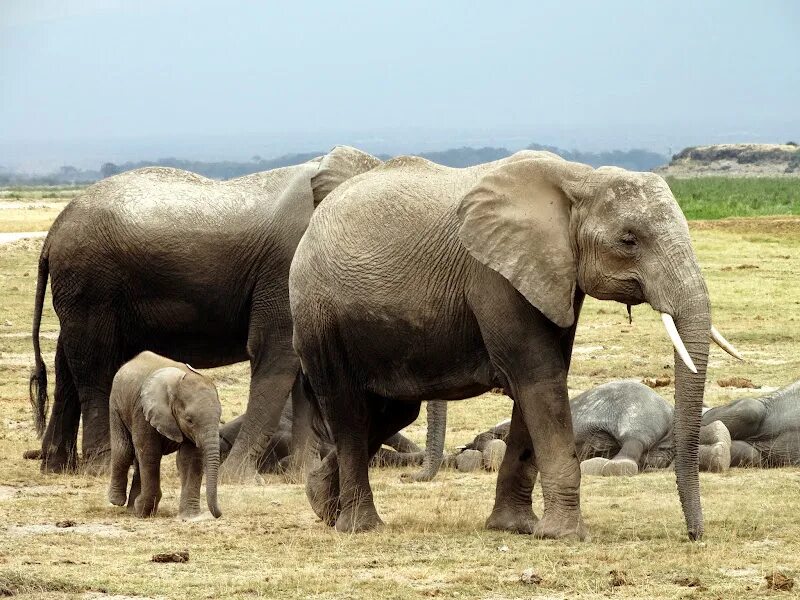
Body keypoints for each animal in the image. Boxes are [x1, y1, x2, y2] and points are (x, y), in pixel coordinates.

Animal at [28, 145, 382, 478]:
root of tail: (54, 231)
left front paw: (300, 474)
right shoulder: (285, 264)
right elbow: (277, 352)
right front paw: (237, 477)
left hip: (81, 290)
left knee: (68, 363)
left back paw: (56, 466)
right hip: (91, 281)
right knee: (96, 364)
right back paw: (99, 468)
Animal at [108, 352, 223, 520]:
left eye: (219, 417)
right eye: (189, 420)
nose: (219, 514)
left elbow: (191, 458)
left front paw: (189, 516)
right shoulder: (142, 410)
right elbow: (150, 453)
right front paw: (143, 511)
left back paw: (131, 509)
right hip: (116, 403)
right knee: (124, 449)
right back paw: (117, 501)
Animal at [290, 150, 740, 540]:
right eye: (629, 240)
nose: (694, 536)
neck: (578, 179)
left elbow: (539, 384)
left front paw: (516, 528)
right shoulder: (495, 277)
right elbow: (538, 378)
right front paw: (564, 535)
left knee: (392, 412)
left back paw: (321, 505)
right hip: (318, 316)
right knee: (348, 409)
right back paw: (359, 527)